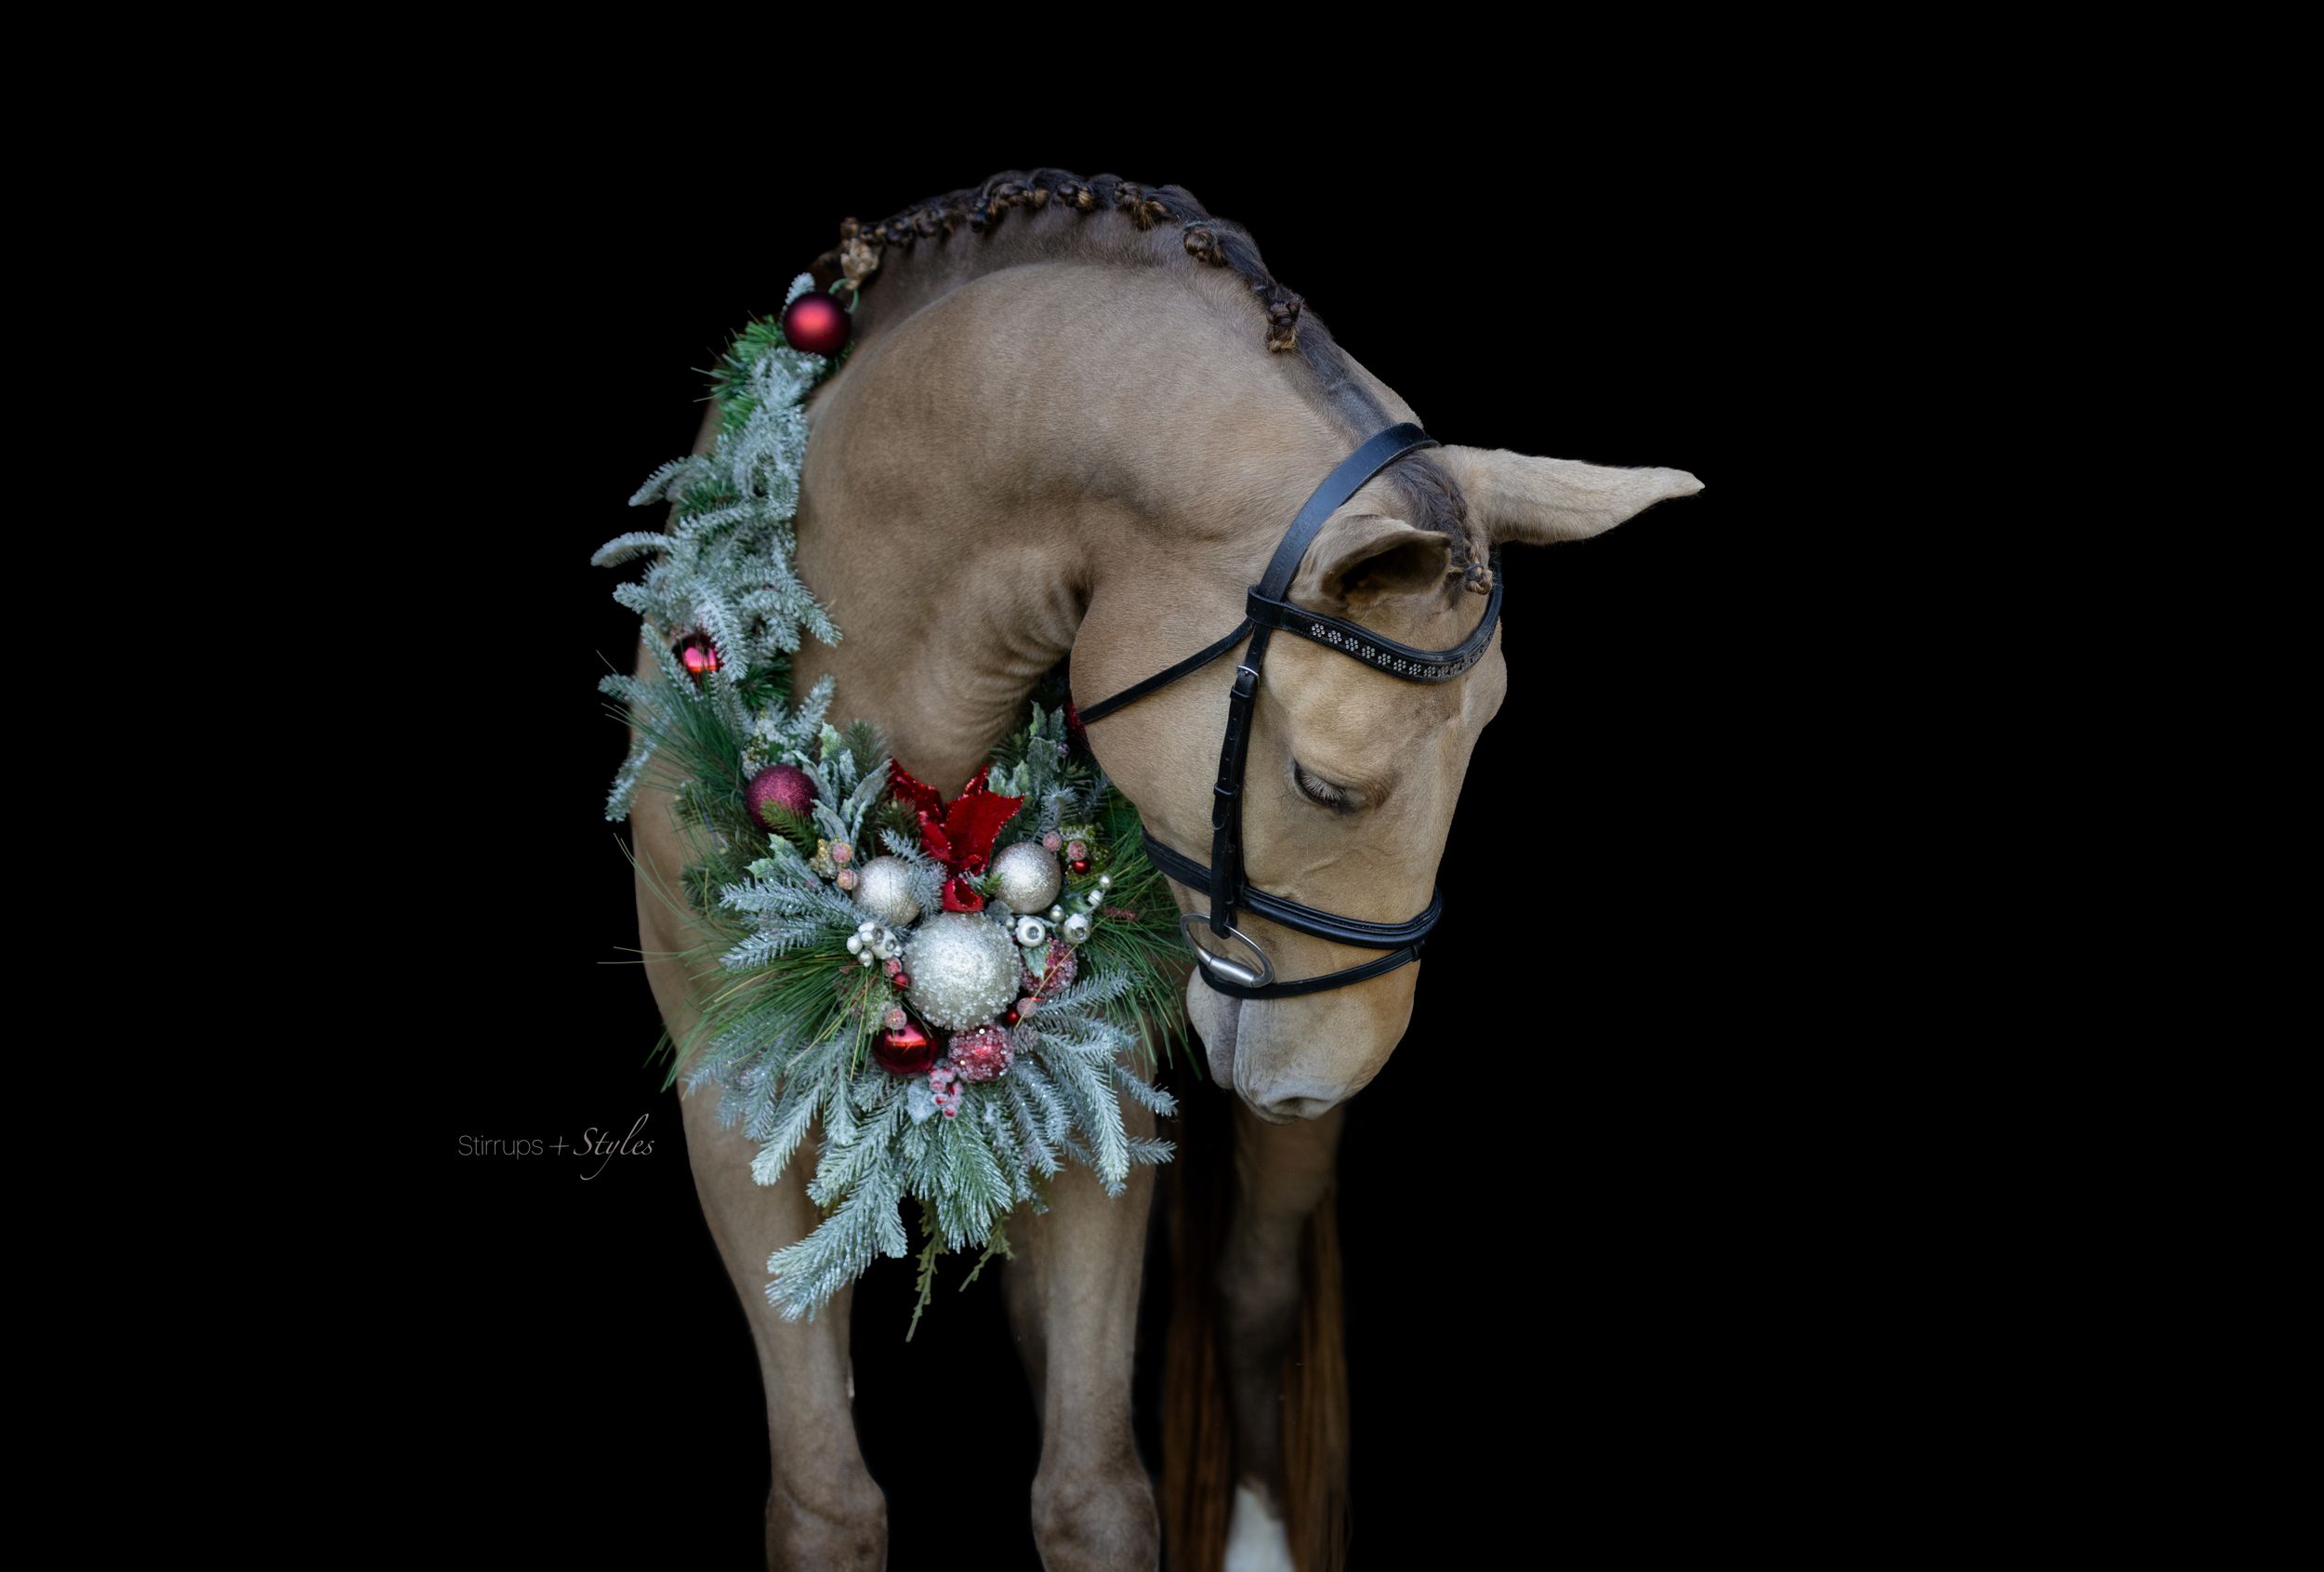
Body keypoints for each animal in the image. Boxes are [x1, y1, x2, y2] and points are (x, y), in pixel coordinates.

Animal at [622, 168, 1702, 1571]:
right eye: (1324, 785)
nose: (1320, 1077)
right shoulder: (734, 1113)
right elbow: (824, 1501)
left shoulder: (1102, 1095)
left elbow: (1095, 1489)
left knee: (1251, 1293)